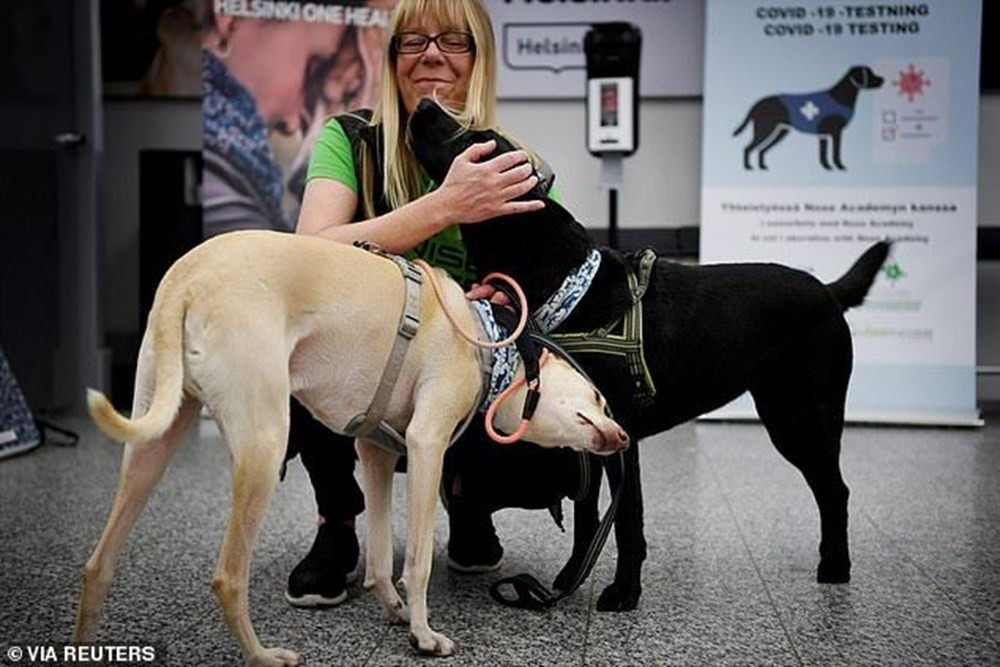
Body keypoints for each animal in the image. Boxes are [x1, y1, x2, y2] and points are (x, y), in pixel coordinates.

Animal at [74, 230, 628, 664]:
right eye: (601, 398)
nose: (623, 436)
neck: (485, 339)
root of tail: (186, 279)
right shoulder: (426, 445)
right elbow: (417, 561)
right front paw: (424, 636)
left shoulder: (376, 454)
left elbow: (382, 557)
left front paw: (394, 610)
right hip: (263, 446)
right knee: (228, 578)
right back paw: (263, 656)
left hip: (153, 444)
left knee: (97, 567)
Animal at [406, 99, 892, 612]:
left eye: (473, 141)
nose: (425, 104)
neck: (571, 285)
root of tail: (829, 291)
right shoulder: (586, 434)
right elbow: (587, 517)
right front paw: (570, 578)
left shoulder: (622, 435)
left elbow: (626, 521)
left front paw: (624, 592)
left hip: (801, 419)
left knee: (835, 490)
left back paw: (835, 567)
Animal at [736, 65, 884, 171]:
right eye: (870, 73)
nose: (883, 79)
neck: (839, 97)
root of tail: (757, 104)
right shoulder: (836, 132)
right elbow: (835, 152)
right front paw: (838, 166)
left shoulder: (824, 134)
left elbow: (823, 153)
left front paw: (827, 167)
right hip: (764, 129)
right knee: (748, 148)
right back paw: (748, 167)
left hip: (780, 132)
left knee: (761, 149)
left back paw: (762, 167)